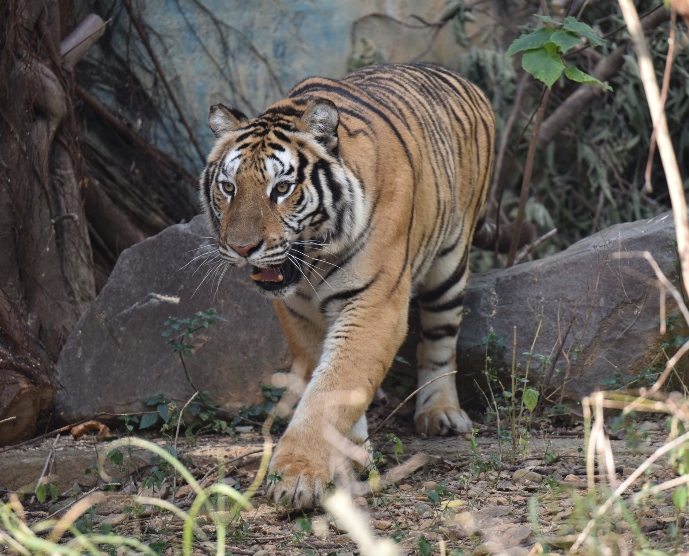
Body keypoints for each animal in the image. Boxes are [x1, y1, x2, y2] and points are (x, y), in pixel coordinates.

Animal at [199, 62, 532, 508]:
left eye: (282, 189)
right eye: (228, 188)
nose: (242, 248)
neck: (313, 261)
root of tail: (458, 77)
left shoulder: (374, 303)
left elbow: (333, 387)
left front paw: (297, 476)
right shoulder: (298, 313)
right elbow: (333, 383)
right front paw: (351, 453)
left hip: (450, 263)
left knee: (440, 342)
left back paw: (440, 412)